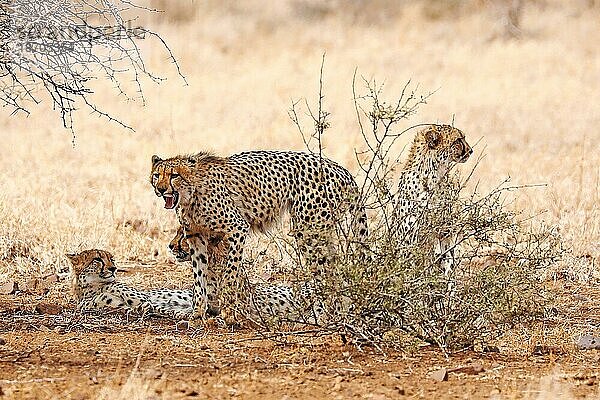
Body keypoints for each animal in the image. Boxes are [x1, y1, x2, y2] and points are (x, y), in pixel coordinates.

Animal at [150, 150, 366, 322]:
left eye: (174, 175)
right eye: (156, 175)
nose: (160, 189)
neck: (191, 195)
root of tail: (340, 168)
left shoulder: (237, 227)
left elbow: (231, 272)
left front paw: (229, 313)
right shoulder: (197, 237)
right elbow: (199, 276)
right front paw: (197, 313)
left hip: (308, 230)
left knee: (329, 272)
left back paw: (327, 316)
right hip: (321, 230)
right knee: (334, 268)